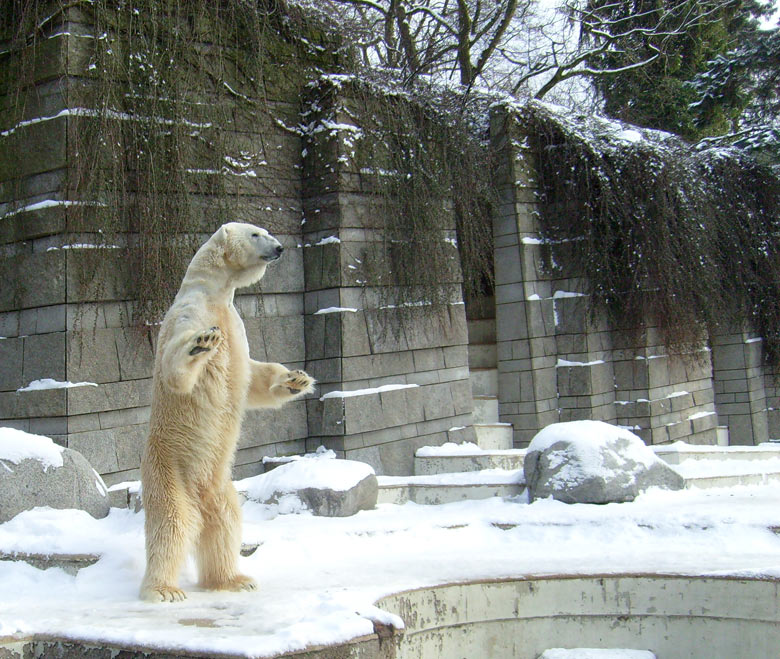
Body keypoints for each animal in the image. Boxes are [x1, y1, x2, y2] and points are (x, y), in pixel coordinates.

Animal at [140, 223, 314, 604]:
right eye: (256, 234)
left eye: (265, 232)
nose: (280, 248)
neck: (215, 293)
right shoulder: (189, 313)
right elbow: (175, 370)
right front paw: (201, 343)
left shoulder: (237, 326)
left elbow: (253, 378)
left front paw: (297, 379)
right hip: (168, 469)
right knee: (172, 525)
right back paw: (163, 590)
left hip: (221, 484)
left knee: (224, 523)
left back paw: (233, 579)